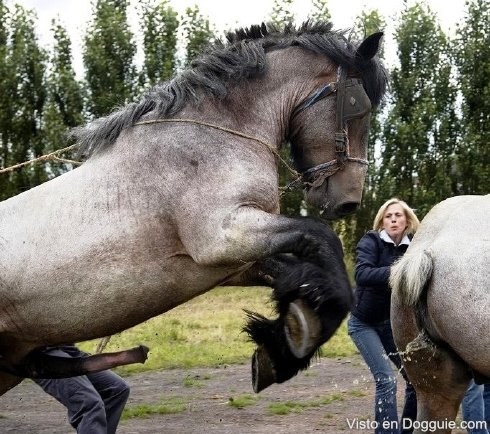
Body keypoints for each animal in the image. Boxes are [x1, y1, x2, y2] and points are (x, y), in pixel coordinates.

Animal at [0, 22, 386, 396]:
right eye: (359, 107)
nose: (349, 199)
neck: (213, 140)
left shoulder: (233, 263)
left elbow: (305, 271)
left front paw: (286, 342)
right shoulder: (222, 238)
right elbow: (323, 237)